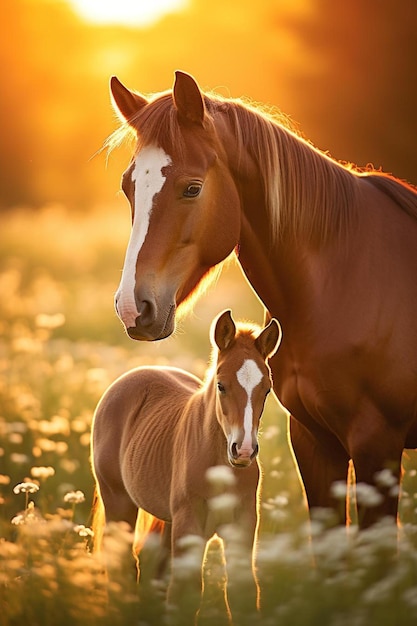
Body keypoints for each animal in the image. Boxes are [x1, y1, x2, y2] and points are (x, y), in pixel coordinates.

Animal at [91, 308, 280, 620]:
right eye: (221, 385)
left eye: (266, 389)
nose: (243, 450)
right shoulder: (189, 525)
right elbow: (187, 593)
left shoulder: (241, 526)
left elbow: (243, 592)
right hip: (119, 502)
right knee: (123, 565)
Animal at [106, 69, 416, 528]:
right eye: (128, 187)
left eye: (192, 188)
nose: (132, 306)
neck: (345, 284)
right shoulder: (313, 440)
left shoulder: (377, 445)